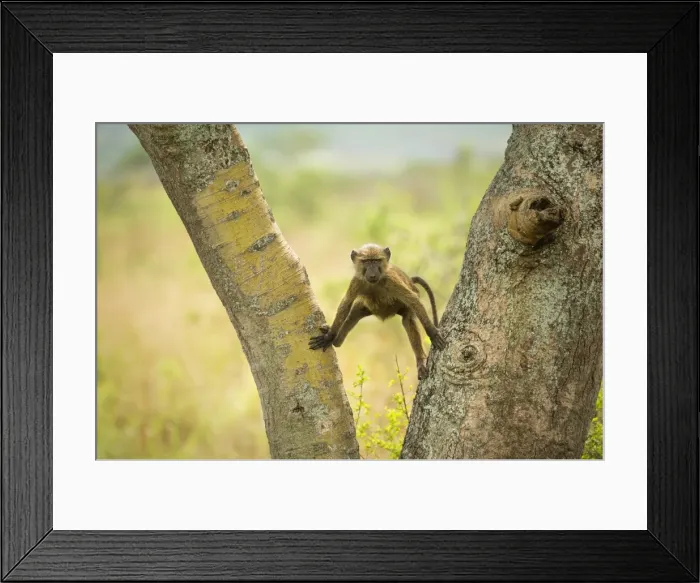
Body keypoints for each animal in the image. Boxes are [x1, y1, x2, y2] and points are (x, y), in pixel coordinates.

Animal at [308, 243, 446, 380]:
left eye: (376, 261)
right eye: (366, 262)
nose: (372, 274)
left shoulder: (391, 281)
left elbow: (413, 300)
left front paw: (433, 333)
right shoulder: (356, 281)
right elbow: (346, 304)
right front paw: (328, 337)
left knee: (408, 319)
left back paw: (420, 360)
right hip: (368, 308)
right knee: (354, 314)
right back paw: (336, 340)